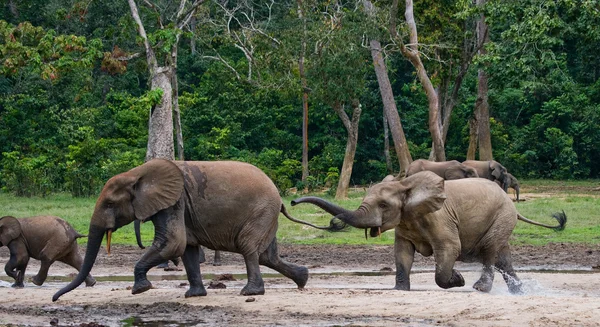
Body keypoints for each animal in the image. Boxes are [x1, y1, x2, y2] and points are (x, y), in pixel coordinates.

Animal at [54, 160, 328, 302]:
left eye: (110, 204)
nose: (56, 299)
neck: (137, 174)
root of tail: (280, 198)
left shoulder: (174, 201)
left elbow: (173, 243)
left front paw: (140, 289)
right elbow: (186, 248)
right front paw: (194, 295)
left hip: (261, 211)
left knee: (250, 249)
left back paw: (250, 292)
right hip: (266, 215)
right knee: (266, 255)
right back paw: (303, 279)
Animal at [292, 173, 564, 296]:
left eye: (383, 205)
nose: (293, 201)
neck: (406, 187)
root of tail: (513, 206)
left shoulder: (440, 218)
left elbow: (449, 249)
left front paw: (457, 280)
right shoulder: (404, 223)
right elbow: (402, 254)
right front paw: (400, 290)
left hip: (502, 216)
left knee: (490, 251)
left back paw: (479, 288)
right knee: (502, 257)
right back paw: (519, 292)